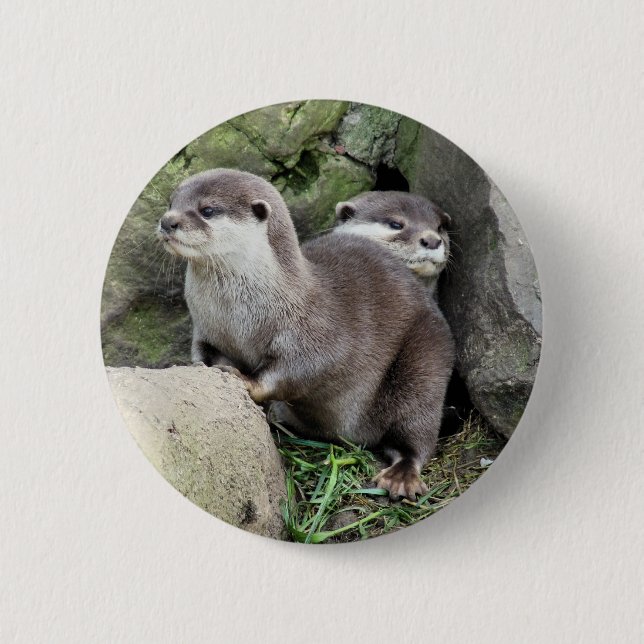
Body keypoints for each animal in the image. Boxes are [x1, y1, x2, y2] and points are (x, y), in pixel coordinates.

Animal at [157, 169, 454, 500]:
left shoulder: (316, 331)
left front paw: (246, 380)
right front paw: (197, 368)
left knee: (417, 430)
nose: (168, 221)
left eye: (207, 210)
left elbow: (302, 369)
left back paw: (400, 476)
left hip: (425, 359)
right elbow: (203, 353)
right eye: (171, 203)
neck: (239, 317)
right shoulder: (206, 329)